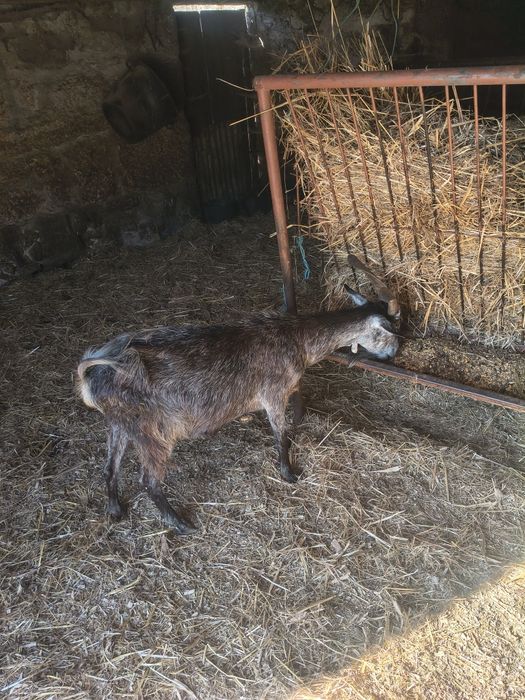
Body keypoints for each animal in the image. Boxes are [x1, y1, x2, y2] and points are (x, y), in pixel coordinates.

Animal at [76, 256, 400, 534]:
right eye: (390, 332)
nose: (394, 352)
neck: (297, 338)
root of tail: (95, 373)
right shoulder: (274, 393)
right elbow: (281, 434)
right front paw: (288, 474)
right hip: (152, 430)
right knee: (148, 480)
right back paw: (180, 524)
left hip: (120, 422)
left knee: (110, 467)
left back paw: (115, 509)